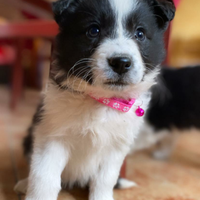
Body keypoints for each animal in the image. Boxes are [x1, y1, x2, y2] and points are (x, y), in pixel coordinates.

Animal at [14, 0, 175, 200]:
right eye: (93, 30)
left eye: (140, 33)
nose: (121, 62)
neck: (101, 101)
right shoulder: (52, 135)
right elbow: (44, 177)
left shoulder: (116, 146)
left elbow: (105, 179)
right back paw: (23, 184)